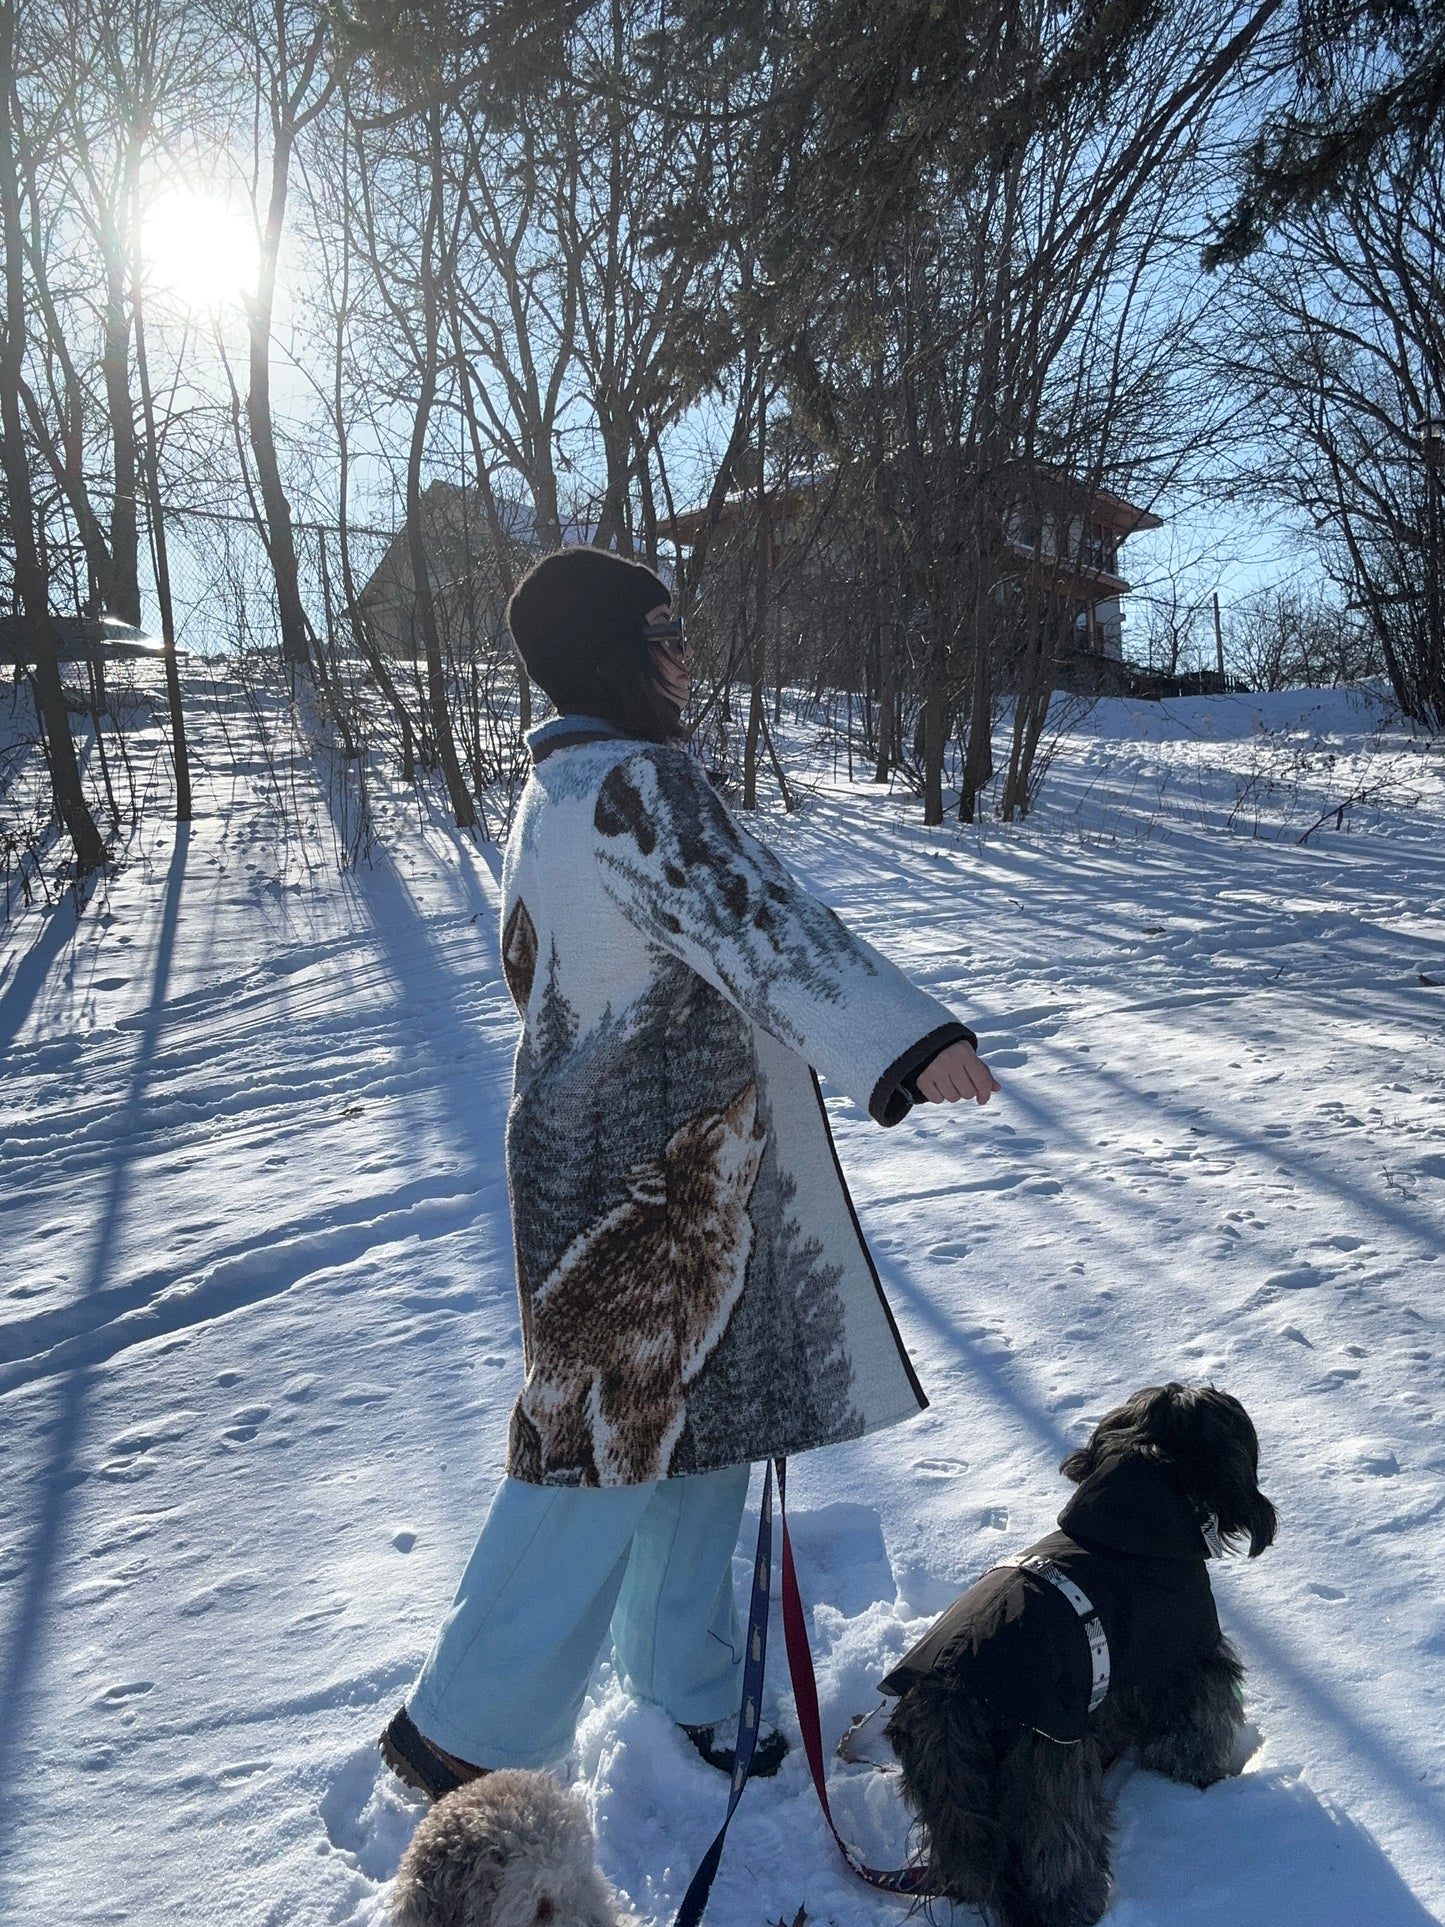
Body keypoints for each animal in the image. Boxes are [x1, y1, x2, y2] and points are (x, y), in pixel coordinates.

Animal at [882, 1387, 1279, 1927]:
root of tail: (951, 1694)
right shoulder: (1191, 1656)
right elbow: (1194, 1731)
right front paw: (1204, 1781)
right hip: (1049, 1778)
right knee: (1058, 1854)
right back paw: (1075, 1906)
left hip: (957, 1800)